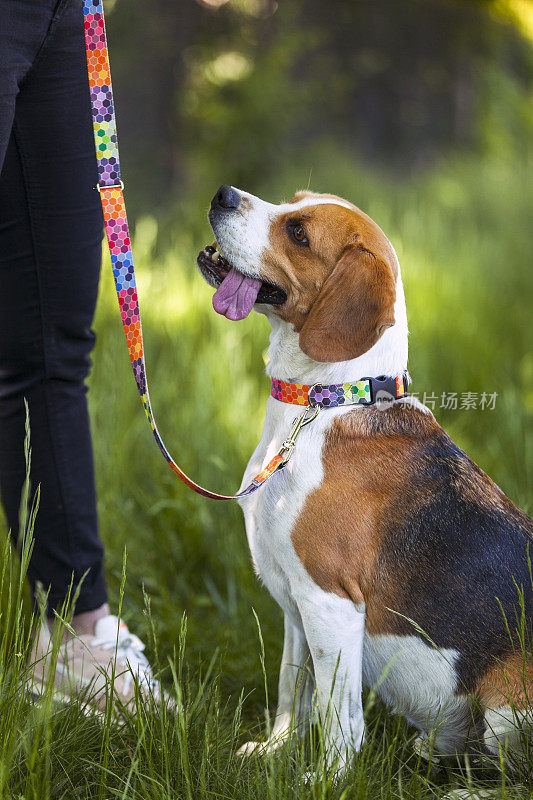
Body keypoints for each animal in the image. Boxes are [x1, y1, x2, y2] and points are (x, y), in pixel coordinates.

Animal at [196, 184, 532, 764]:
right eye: (291, 201)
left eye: (298, 232)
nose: (223, 193)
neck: (328, 400)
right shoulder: (297, 606)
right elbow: (293, 688)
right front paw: (276, 753)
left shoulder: (330, 601)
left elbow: (338, 717)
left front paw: (327, 775)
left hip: (506, 705)